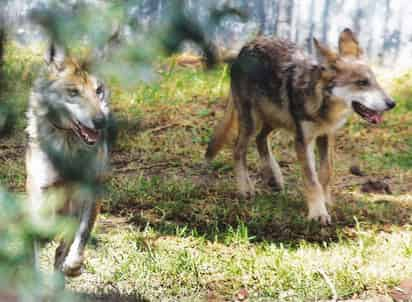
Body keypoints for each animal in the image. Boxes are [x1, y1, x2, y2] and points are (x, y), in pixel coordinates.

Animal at [25, 43, 112, 278]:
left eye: (98, 91)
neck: (68, 146)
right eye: (73, 92)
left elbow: (81, 235)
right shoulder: (42, 192)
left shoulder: (90, 192)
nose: (101, 122)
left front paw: (74, 265)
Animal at [206, 28, 396, 225]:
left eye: (375, 81)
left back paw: (274, 177)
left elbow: (325, 172)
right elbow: (312, 180)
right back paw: (245, 189)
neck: (322, 105)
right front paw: (318, 213)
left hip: (276, 120)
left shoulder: (326, 136)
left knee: (260, 139)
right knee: (238, 149)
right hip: (253, 122)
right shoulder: (302, 141)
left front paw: (326, 202)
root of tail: (246, 47)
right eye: (362, 83)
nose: (392, 104)